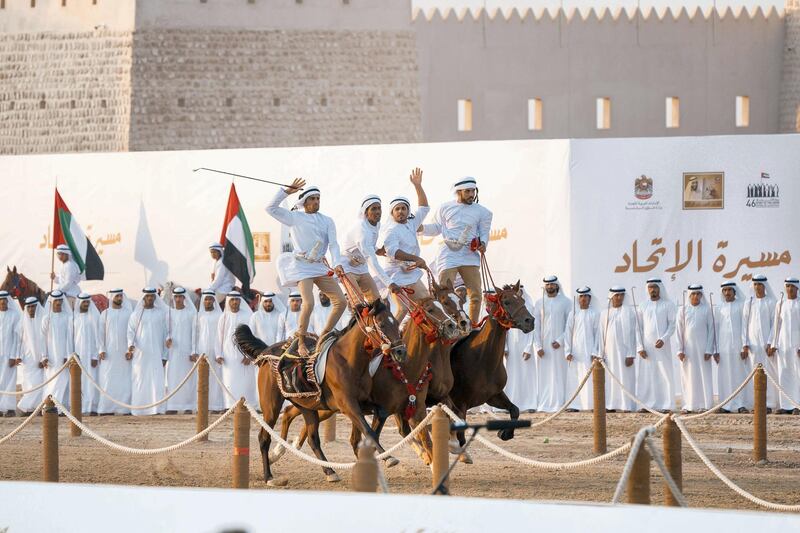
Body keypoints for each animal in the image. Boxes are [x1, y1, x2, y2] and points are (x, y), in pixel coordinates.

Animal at [231, 300, 406, 486]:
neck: (348, 360)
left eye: (396, 322)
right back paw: (269, 476)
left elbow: (376, 419)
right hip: (271, 407)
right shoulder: (348, 405)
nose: (401, 351)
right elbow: (368, 431)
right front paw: (388, 458)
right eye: (381, 324)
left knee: (312, 438)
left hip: (307, 408)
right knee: (264, 437)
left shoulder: (364, 403)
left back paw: (329, 471)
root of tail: (267, 352)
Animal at [450, 280, 532, 446]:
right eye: (507, 302)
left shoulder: (493, 395)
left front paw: (505, 432)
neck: (482, 359)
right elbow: (461, 438)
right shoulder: (460, 405)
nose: (530, 321)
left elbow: (515, 410)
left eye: (522, 300)